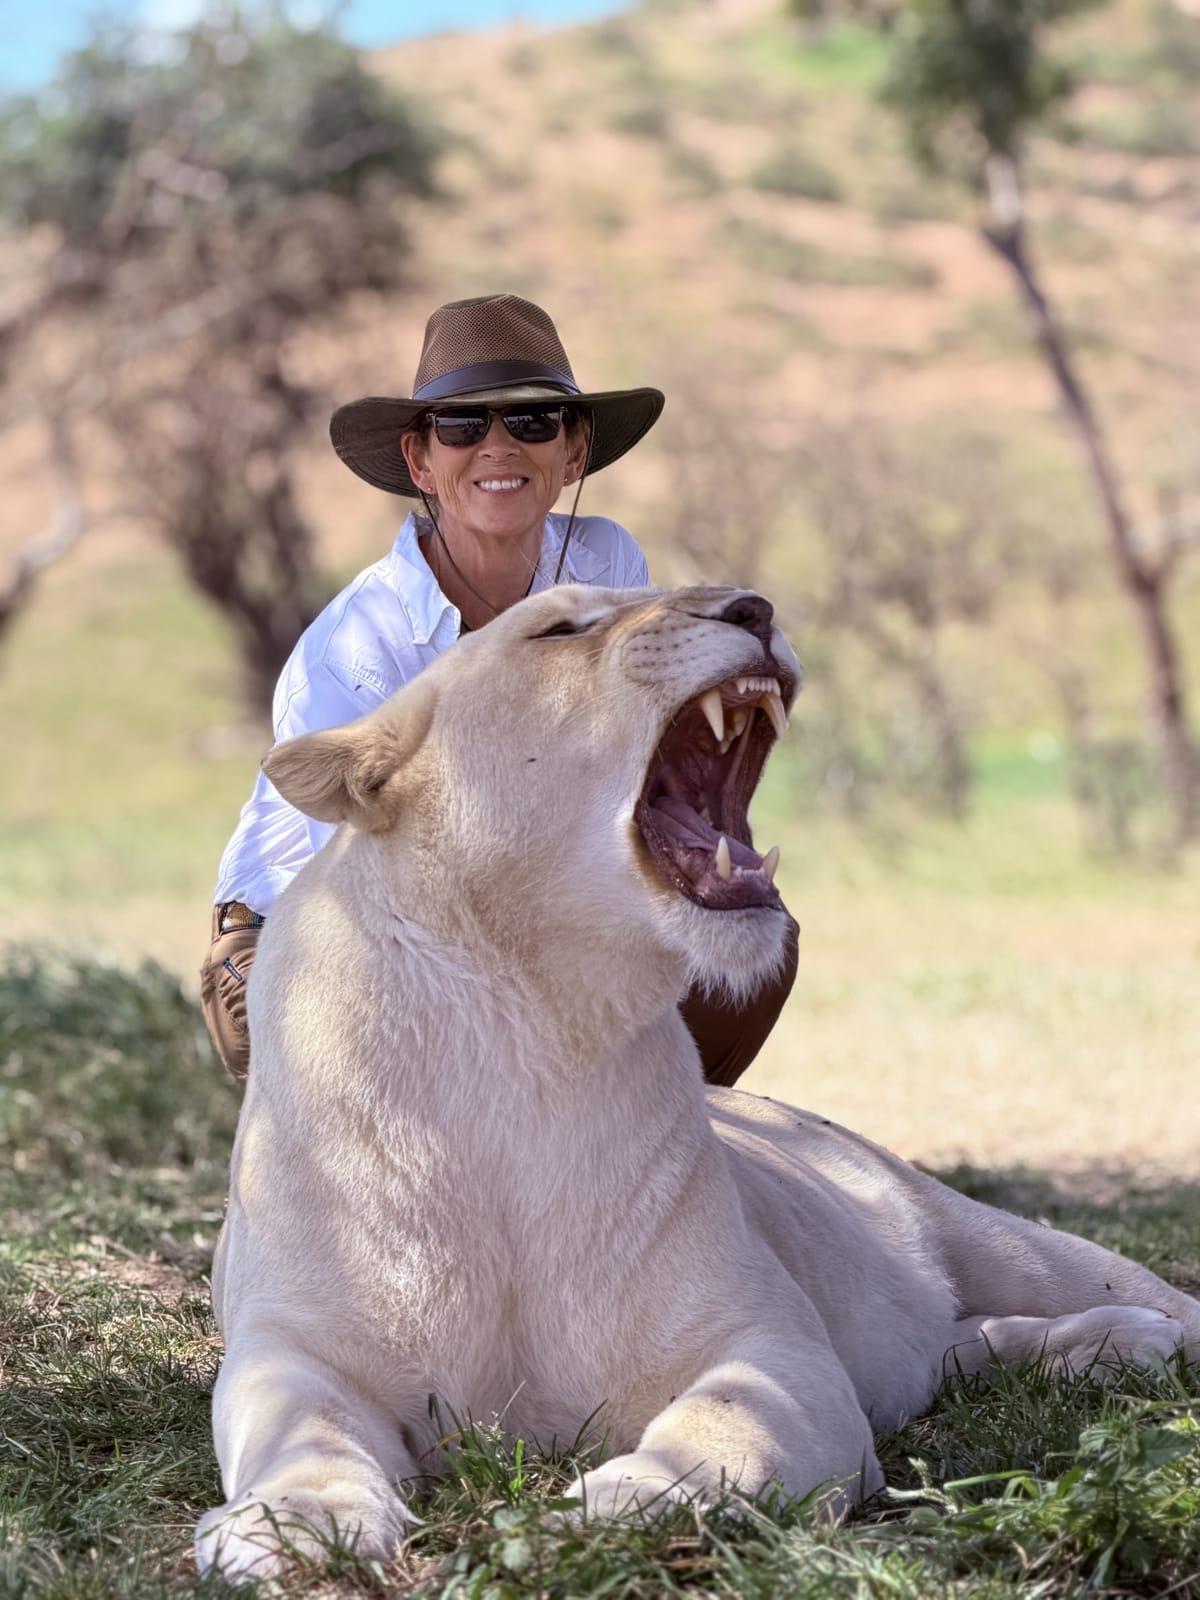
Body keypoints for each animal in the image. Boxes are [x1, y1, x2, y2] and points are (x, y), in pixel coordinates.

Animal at [196, 583, 1200, 1582]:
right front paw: (293, 1529)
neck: (525, 1016)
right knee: (967, 1345)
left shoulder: (763, 1339)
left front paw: (603, 1512)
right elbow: (302, 1434)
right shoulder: (292, 1343)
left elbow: (725, 1430)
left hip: (1002, 1240)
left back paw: (1146, 1338)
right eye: (560, 629)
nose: (753, 606)